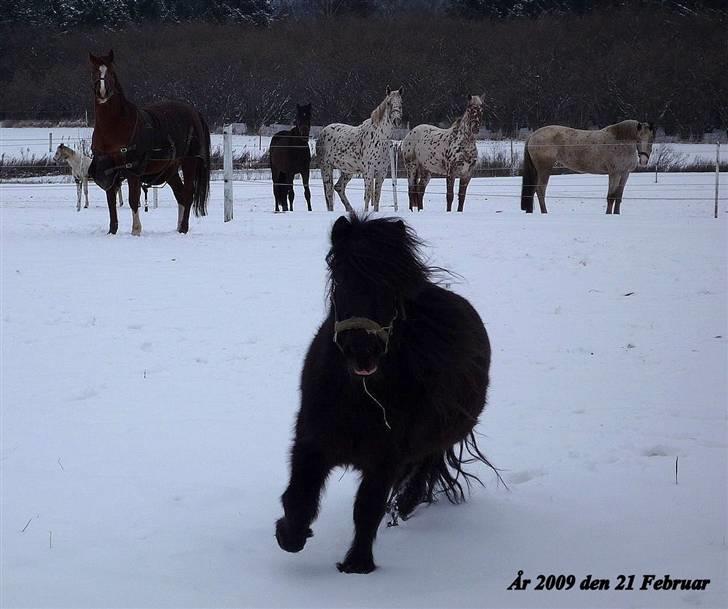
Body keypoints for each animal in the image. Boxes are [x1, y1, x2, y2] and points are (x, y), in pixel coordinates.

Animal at [87, 49, 210, 235]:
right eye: (94, 71)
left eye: (112, 73)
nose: (102, 91)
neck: (115, 125)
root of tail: (194, 112)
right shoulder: (109, 170)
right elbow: (111, 201)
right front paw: (112, 231)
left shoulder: (133, 171)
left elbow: (133, 199)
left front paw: (136, 230)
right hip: (170, 169)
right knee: (180, 194)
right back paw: (178, 226)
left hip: (189, 162)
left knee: (188, 194)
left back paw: (183, 228)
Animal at [520, 120, 656, 215]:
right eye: (638, 139)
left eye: (651, 139)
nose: (644, 161)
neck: (621, 141)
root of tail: (533, 135)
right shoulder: (614, 173)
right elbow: (611, 196)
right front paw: (608, 214)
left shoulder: (625, 174)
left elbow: (618, 196)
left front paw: (617, 214)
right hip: (544, 169)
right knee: (540, 190)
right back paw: (545, 212)